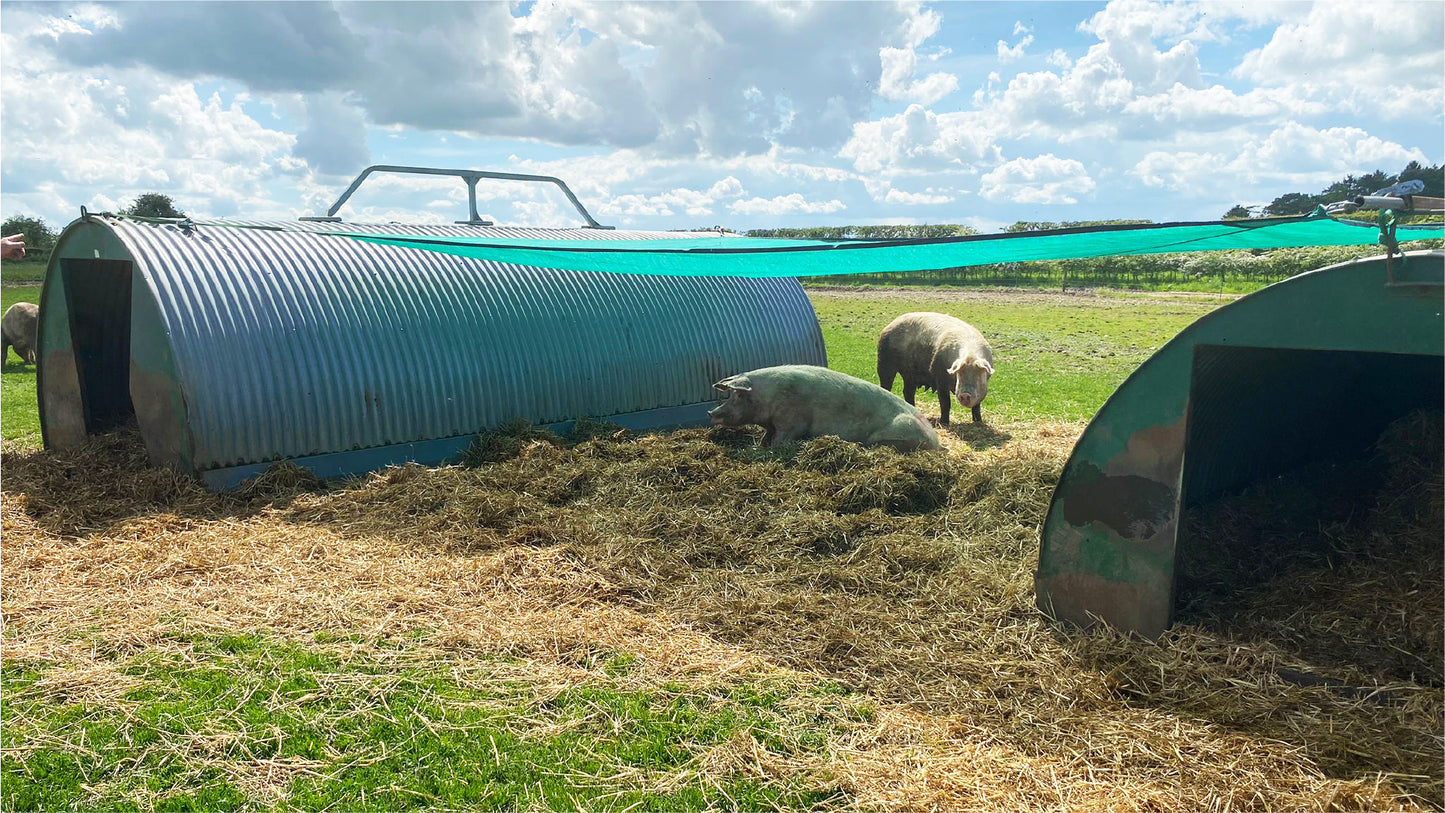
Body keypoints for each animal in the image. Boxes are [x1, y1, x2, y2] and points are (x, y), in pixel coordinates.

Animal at [705, 365, 942, 456]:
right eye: (729, 395)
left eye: (738, 396)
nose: (710, 414)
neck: (768, 396)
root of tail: (937, 441)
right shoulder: (772, 424)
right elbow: (766, 437)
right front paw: (757, 447)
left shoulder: (791, 421)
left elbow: (780, 440)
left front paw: (764, 451)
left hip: (898, 432)